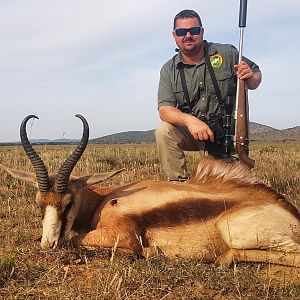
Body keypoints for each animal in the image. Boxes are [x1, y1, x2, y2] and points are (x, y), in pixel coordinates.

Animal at [0, 115, 300, 268]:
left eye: (69, 202)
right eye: (39, 202)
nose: (48, 244)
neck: (105, 200)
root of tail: (287, 208)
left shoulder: (121, 236)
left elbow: (77, 240)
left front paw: (150, 252)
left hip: (233, 231)